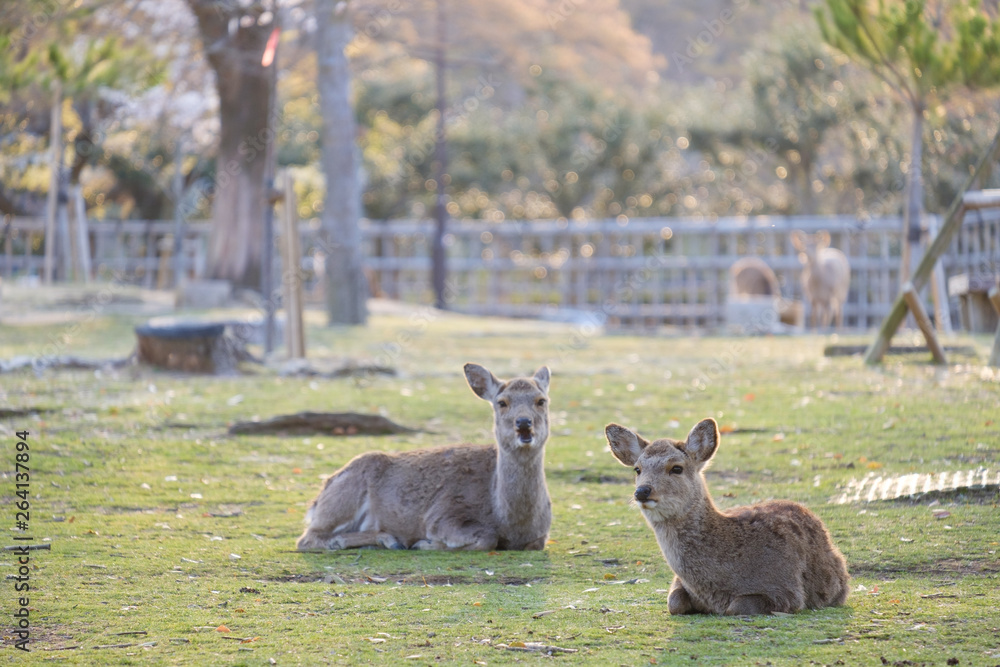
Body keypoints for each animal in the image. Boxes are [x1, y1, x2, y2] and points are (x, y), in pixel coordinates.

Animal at [296, 364, 552, 551]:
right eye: (502, 402)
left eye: (541, 400)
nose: (523, 423)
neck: (511, 524)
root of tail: (316, 500)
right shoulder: (442, 516)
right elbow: (485, 539)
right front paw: (425, 543)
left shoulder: (540, 536)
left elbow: (534, 545)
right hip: (341, 500)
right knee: (307, 539)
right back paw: (389, 541)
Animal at [605, 418, 849, 615]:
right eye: (637, 469)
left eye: (676, 468)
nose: (642, 491)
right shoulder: (677, 584)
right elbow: (674, 602)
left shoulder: (787, 589)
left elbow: (736, 607)